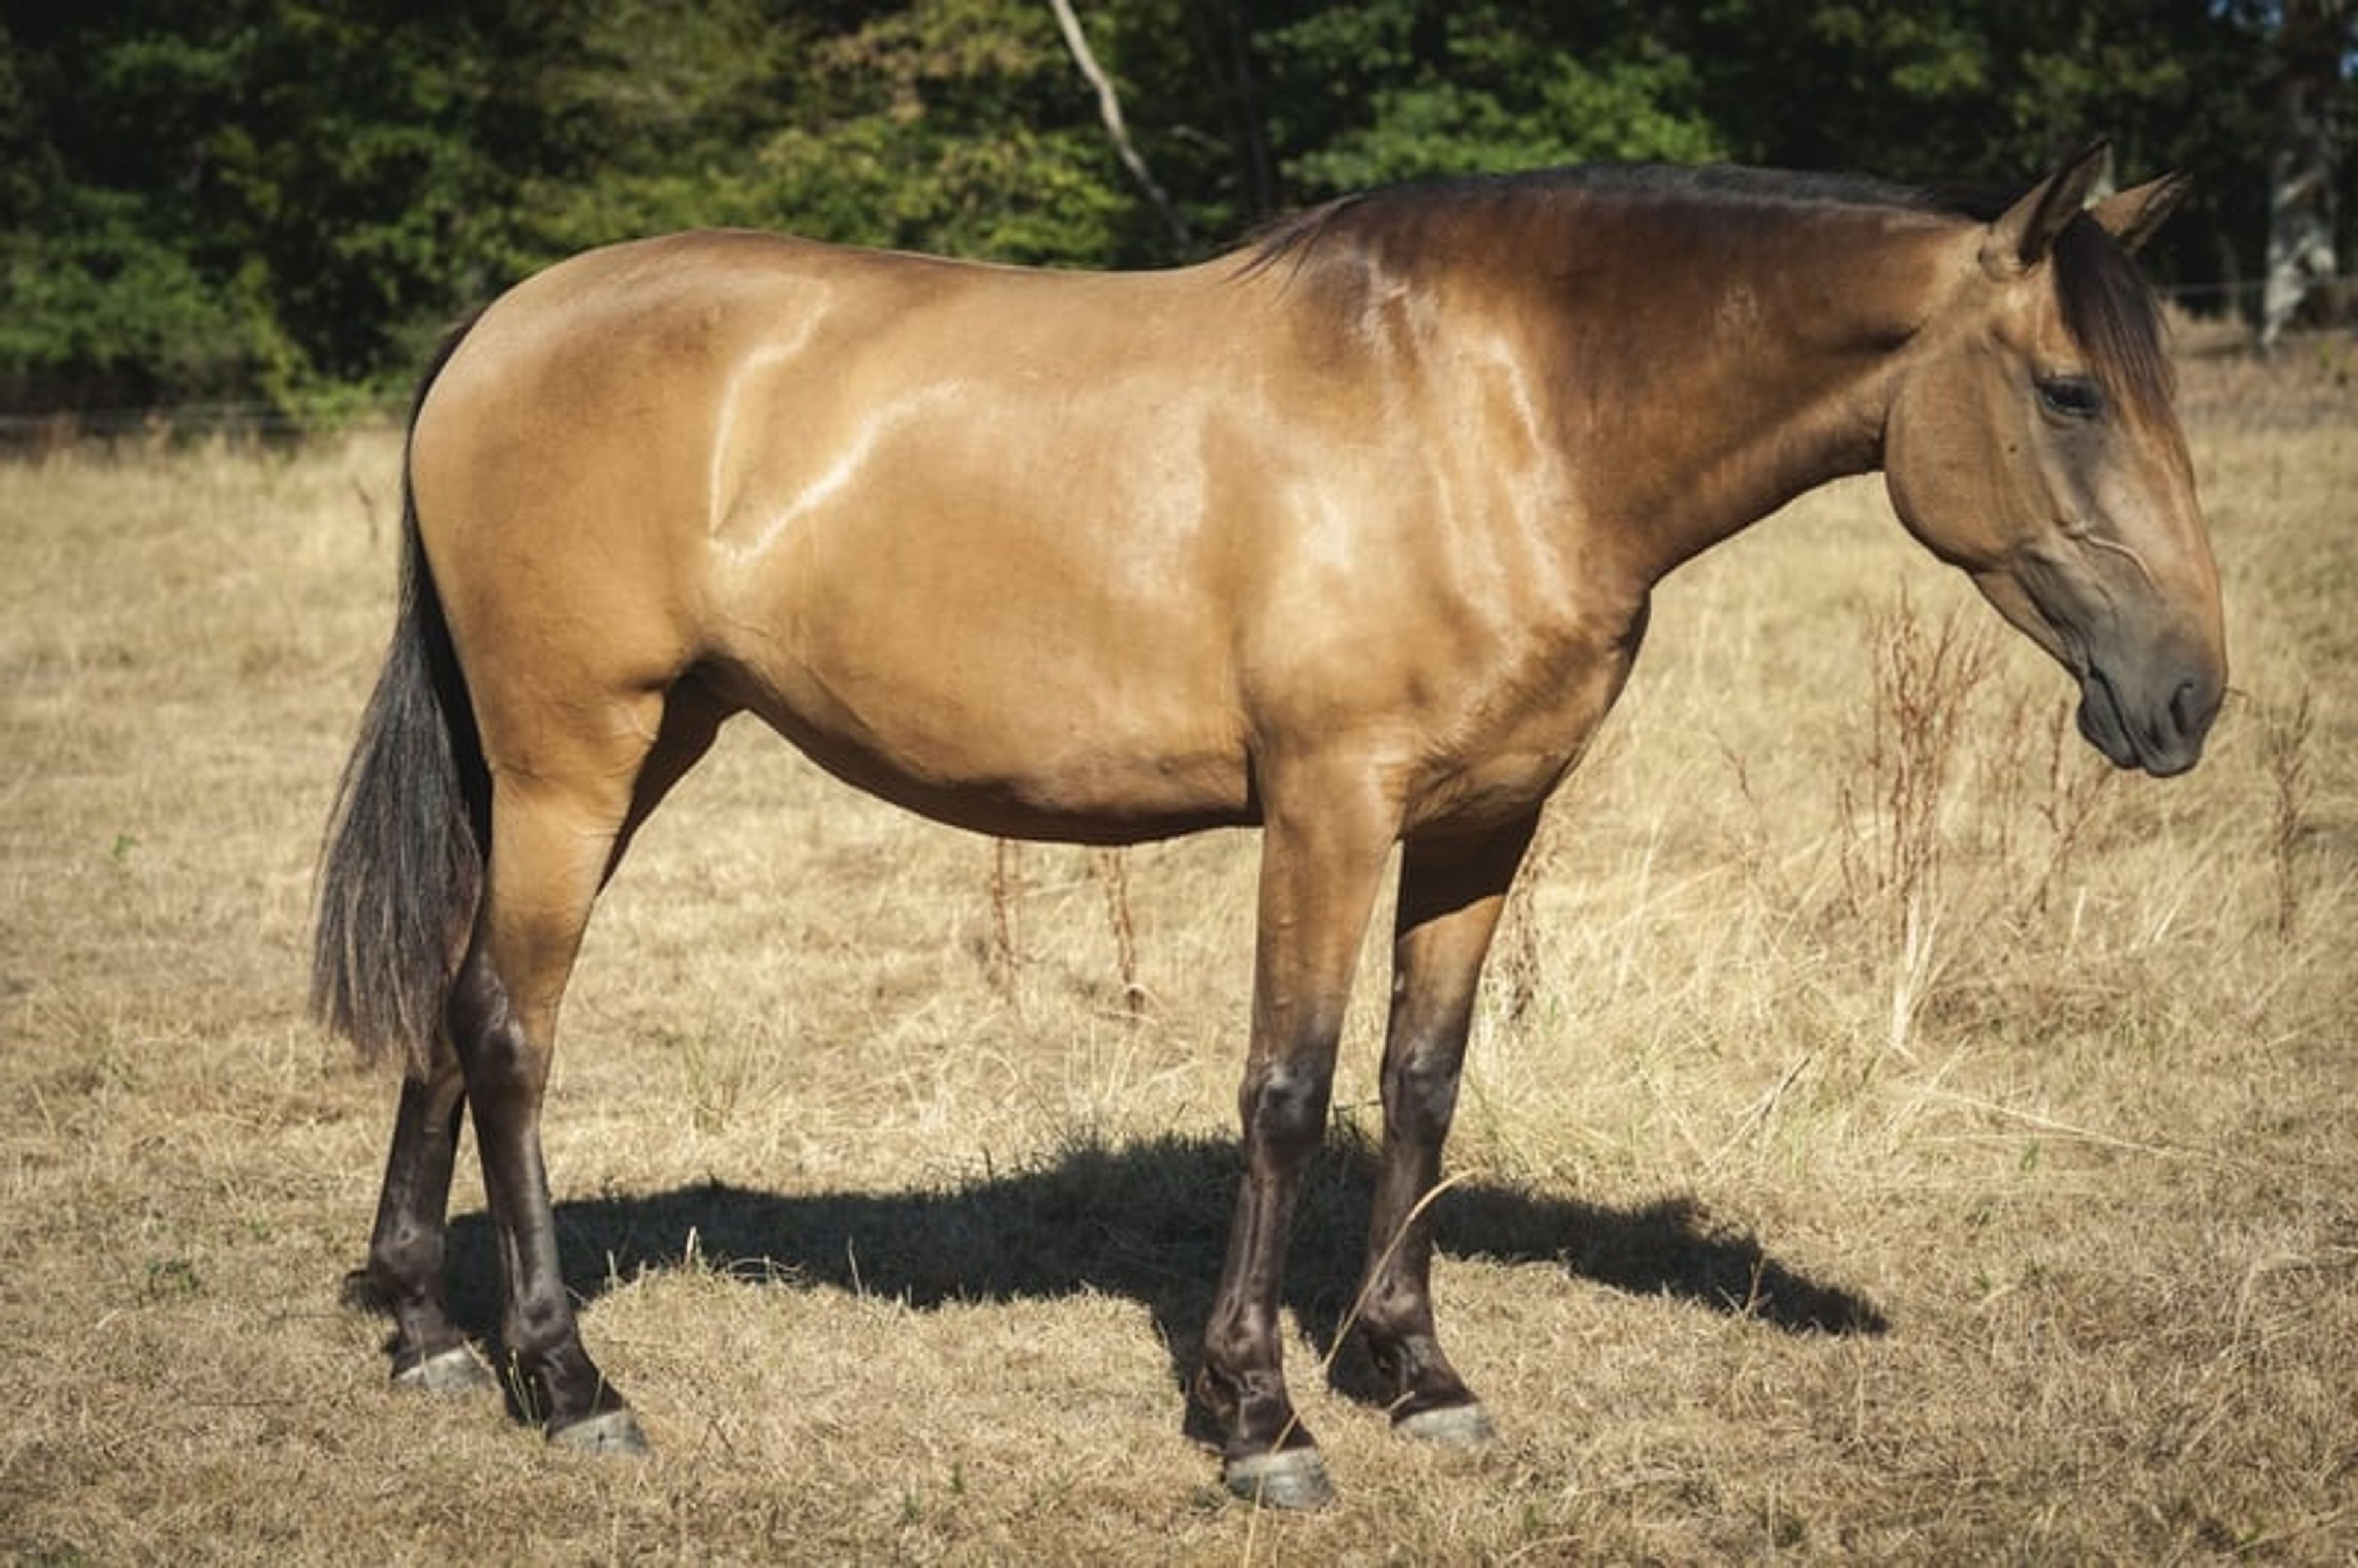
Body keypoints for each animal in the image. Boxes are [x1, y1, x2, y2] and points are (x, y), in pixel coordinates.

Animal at [312, 144, 2224, 1509]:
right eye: (2069, 391)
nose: (2190, 694)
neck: (1499, 414)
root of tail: (500, 328)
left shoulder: (1482, 823)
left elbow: (1421, 1081)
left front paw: (1415, 1372)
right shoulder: (1328, 809)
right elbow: (1288, 1093)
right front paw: (1258, 1416)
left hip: (607, 756)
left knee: (449, 1011)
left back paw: (422, 1329)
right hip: (577, 758)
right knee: (509, 1027)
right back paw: (567, 1380)